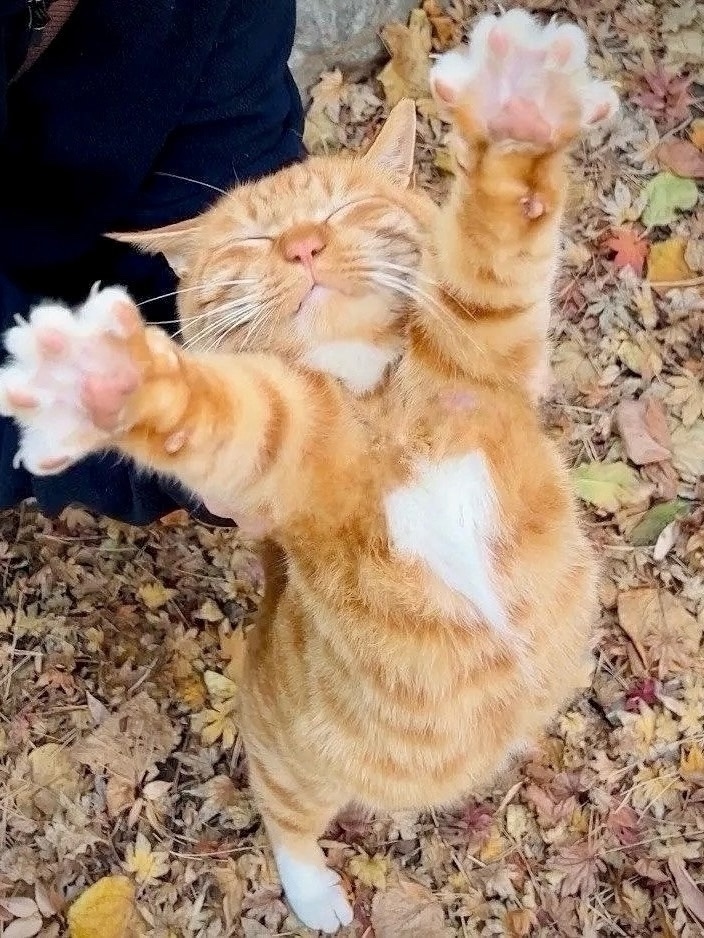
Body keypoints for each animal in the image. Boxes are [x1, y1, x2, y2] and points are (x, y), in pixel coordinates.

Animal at [0, 11, 618, 933]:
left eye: (344, 208)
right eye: (254, 241)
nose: (302, 245)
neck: (372, 396)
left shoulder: (484, 351)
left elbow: (496, 243)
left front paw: (517, 118)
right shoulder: (292, 453)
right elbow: (226, 409)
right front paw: (109, 373)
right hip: (297, 757)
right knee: (284, 812)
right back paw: (313, 890)